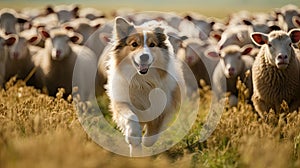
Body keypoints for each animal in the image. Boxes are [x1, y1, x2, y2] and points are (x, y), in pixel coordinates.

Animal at [105, 17, 185, 156]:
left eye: (152, 45)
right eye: (134, 44)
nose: (144, 56)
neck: (142, 81)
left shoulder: (164, 105)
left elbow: (154, 129)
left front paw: (147, 141)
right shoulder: (121, 102)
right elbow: (131, 117)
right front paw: (133, 136)